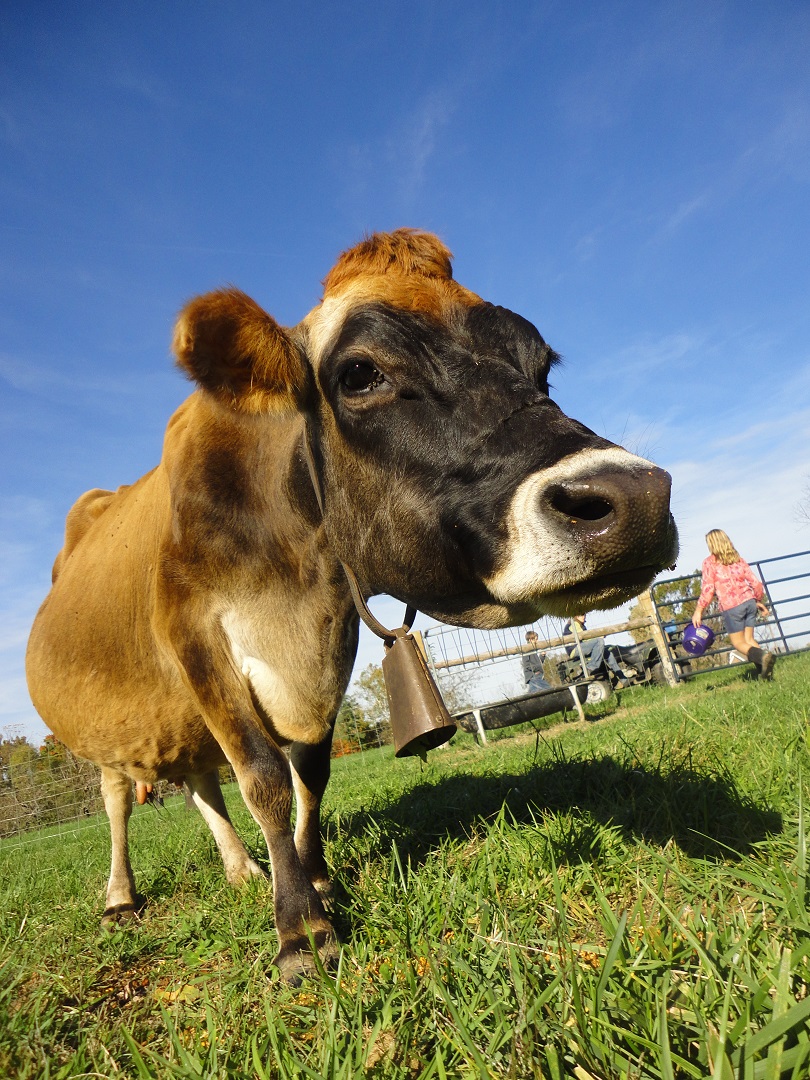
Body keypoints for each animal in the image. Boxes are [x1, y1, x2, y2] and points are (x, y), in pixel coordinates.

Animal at [26, 229, 678, 981]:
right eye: (361, 374)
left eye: (541, 369)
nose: (635, 499)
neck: (292, 578)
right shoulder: (194, 639)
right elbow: (264, 780)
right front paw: (300, 928)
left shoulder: (331, 639)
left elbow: (311, 772)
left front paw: (315, 877)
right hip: (109, 728)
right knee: (116, 802)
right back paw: (121, 896)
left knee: (199, 781)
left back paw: (241, 870)